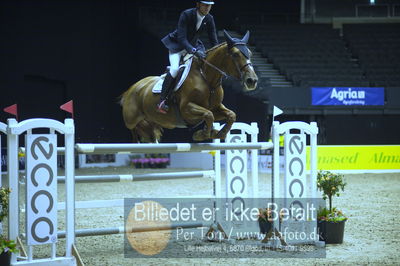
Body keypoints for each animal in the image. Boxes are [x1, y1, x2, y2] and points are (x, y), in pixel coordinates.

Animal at [120, 29, 258, 142]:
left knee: (149, 132)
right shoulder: (186, 109)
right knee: (134, 130)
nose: (252, 80)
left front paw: (219, 133)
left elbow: (230, 115)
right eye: (235, 54)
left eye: (250, 54)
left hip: (152, 119)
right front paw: (203, 134)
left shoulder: (216, 107)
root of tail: (131, 89)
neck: (207, 80)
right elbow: (209, 115)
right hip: (131, 120)